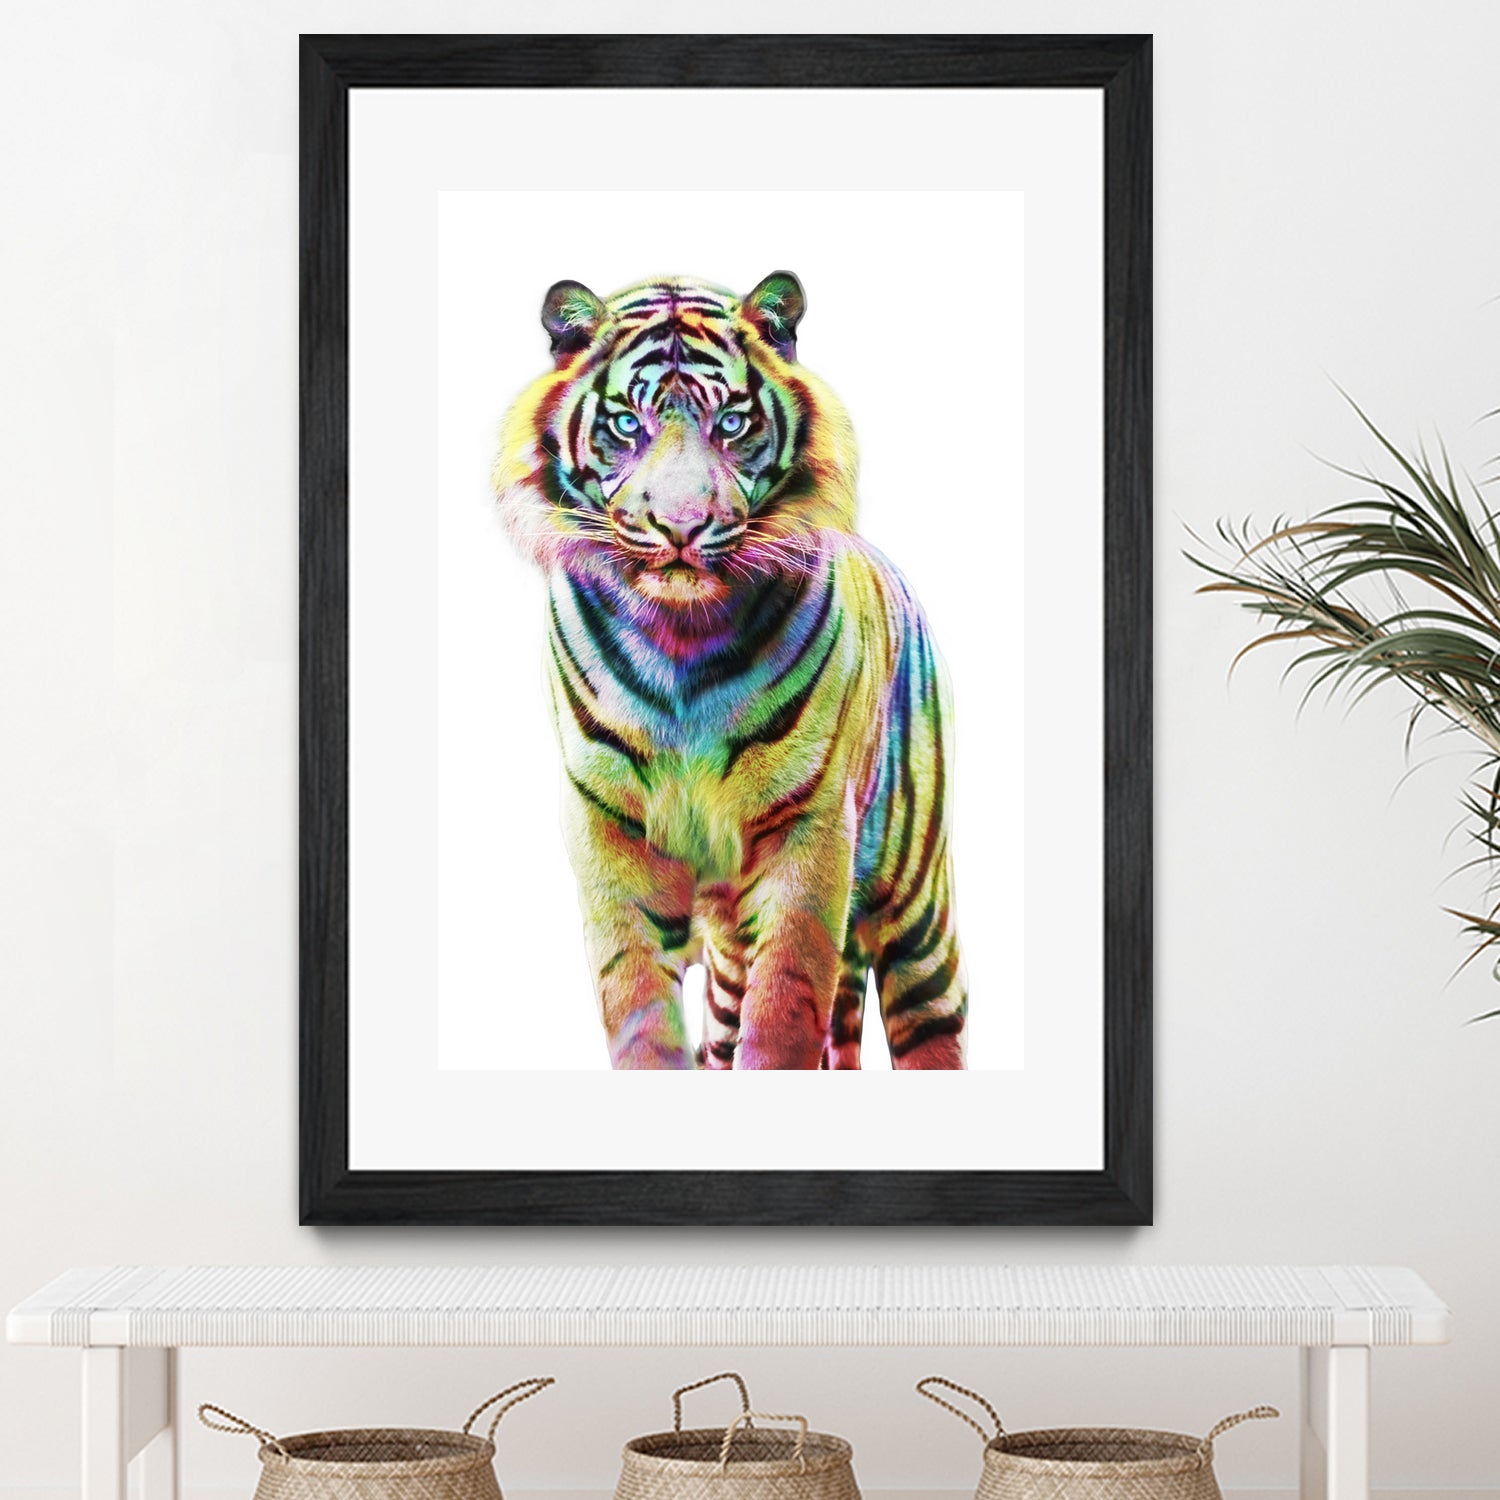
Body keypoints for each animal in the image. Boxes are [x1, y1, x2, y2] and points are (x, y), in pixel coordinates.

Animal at [493, 271, 967, 1070]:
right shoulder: (607, 827)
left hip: (916, 910)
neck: (680, 641)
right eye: (626, 425)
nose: (681, 527)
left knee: (931, 1023)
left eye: (734, 424)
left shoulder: (808, 829)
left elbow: (784, 1011)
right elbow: (637, 1005)